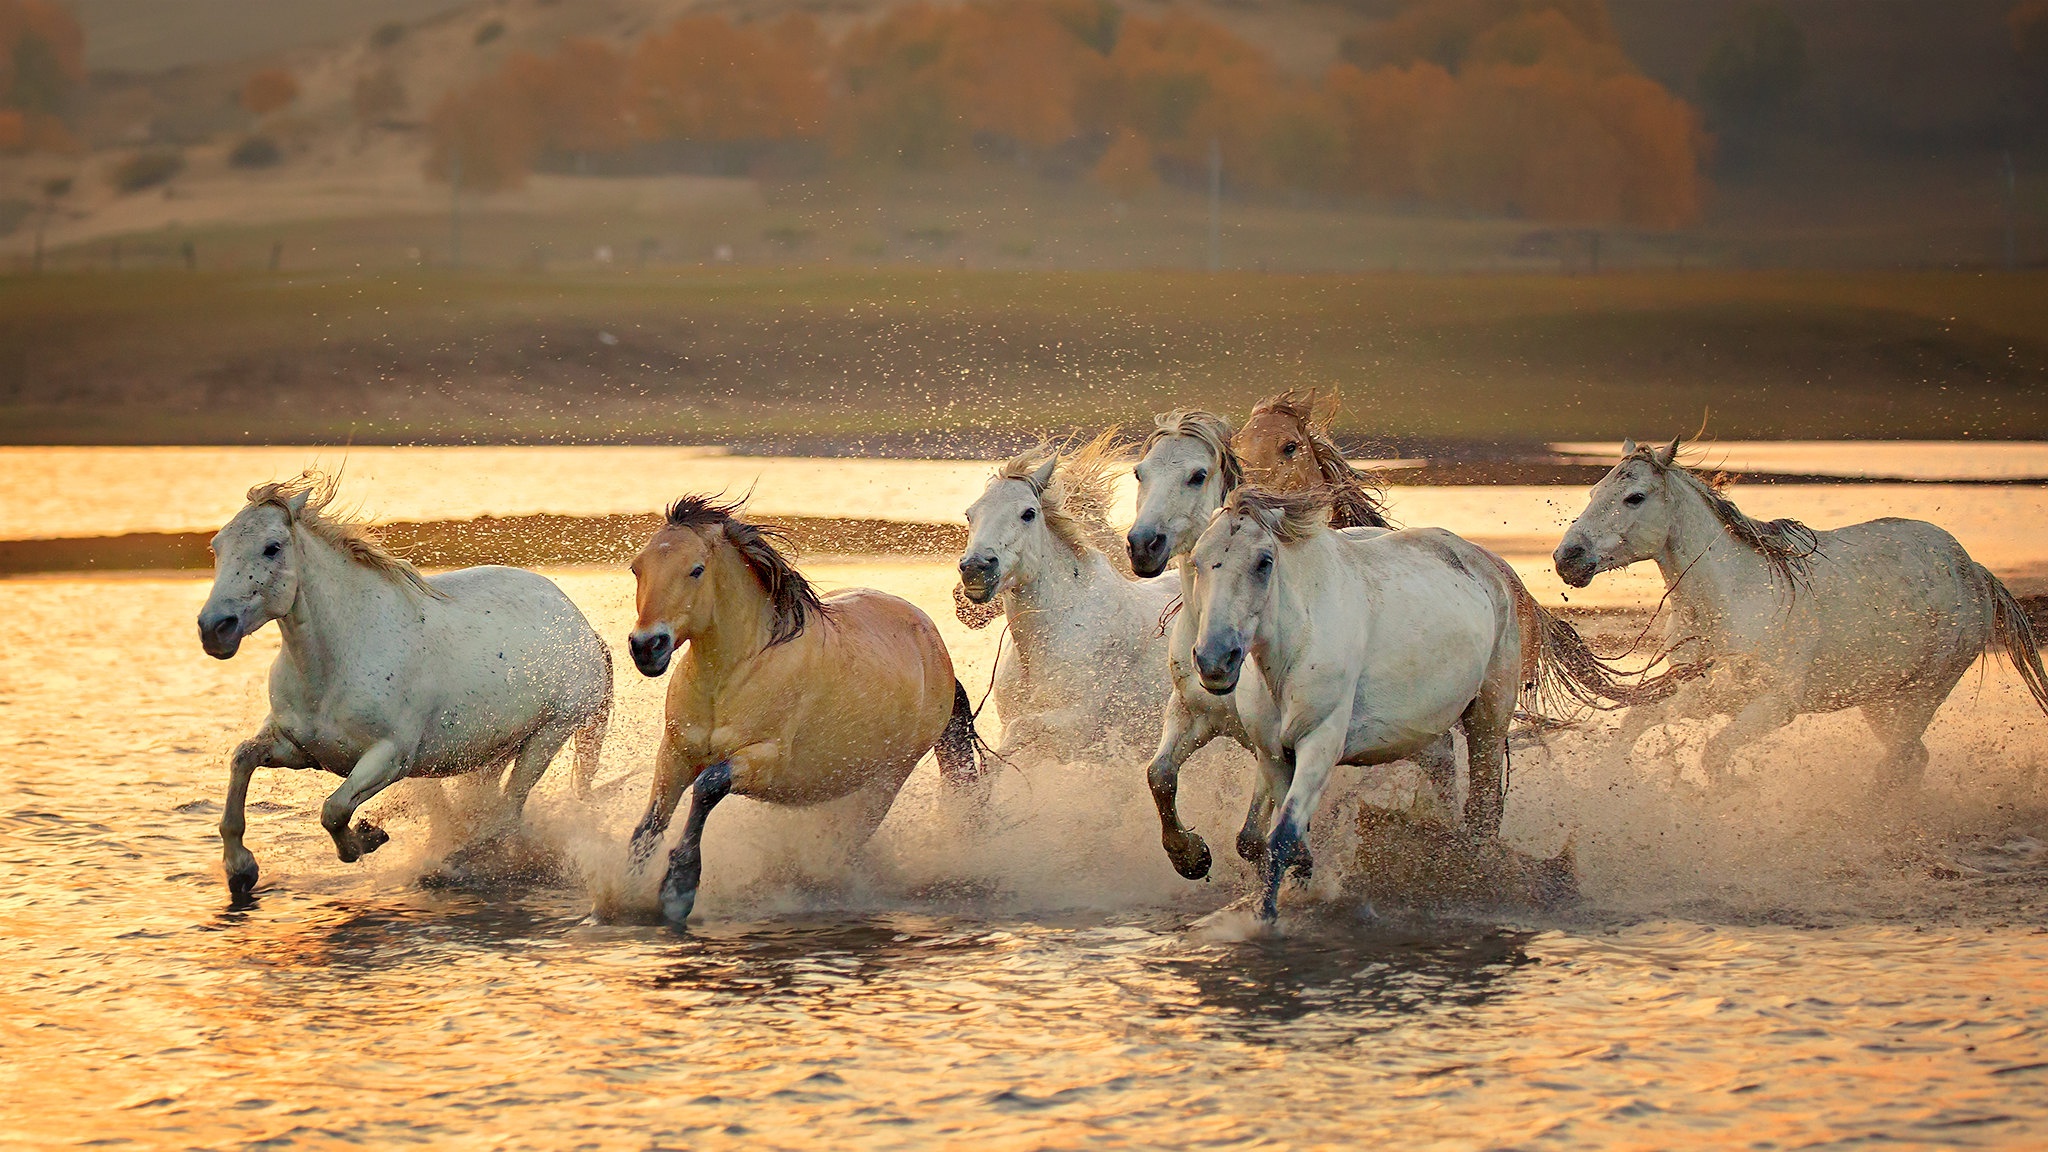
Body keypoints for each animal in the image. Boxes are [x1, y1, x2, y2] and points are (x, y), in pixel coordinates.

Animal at [197, 473, 613, 898]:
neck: (333, 666)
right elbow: (242, 760)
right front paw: (240, 870)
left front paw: (368, 837)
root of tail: (584, 628)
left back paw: (453, 865)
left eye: (272, 547)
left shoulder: (390, 758)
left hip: (548, 736)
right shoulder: (300, 748)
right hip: (495, 751)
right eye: (217, 546)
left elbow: (334, 810)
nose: (215, 629)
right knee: (491, 809)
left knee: (507, 813)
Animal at [624, 494, 983, 926]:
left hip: (885, 779)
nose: (648, 646)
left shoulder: (765, 759)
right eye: (637, 567)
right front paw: (618, 895)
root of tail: (936, 648)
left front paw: (678, 889)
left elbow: (709, 786)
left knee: (841, 845)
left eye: (696, 569)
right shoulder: (676, 752)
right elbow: (651, 822)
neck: (731, 678)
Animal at [1186, 487, 1560, 921]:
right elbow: (1282, 839)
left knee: (1483, 809)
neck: (1293, 650)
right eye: (1197, 560)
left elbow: (1282, 837)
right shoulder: (1274, 755)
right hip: (1430, 736)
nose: (1215, 660)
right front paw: (1301, 880)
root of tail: (1495, 568)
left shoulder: (1320, 742)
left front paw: (1266, 918)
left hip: (1488, 719)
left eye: (1264, 561)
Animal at [1554, 438, 2048, 788]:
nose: (1567, 558)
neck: (1734, 601)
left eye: (1635, 497)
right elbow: (1633, 727)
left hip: (1917, 699)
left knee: (1902, 762)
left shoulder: (1775, 706)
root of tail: (1974, 571)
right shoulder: (1707, 695)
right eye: (1595, 490)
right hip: (1880, 702)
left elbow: (1714, 756)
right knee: (1910, 763)